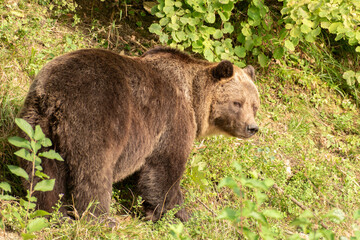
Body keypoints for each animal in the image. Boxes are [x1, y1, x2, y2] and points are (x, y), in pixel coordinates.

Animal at [18, 47, 260, 223]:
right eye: (237, 103)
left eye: (255, 105)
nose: (252, 128)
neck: (194, 100)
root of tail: (56, 96)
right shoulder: (173, 120)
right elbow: (165, 170)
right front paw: (181, 214)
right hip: (98, 116)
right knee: (93, 172)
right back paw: (100, 219)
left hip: (38, 125)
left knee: (42, 171)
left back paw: (51, 213)